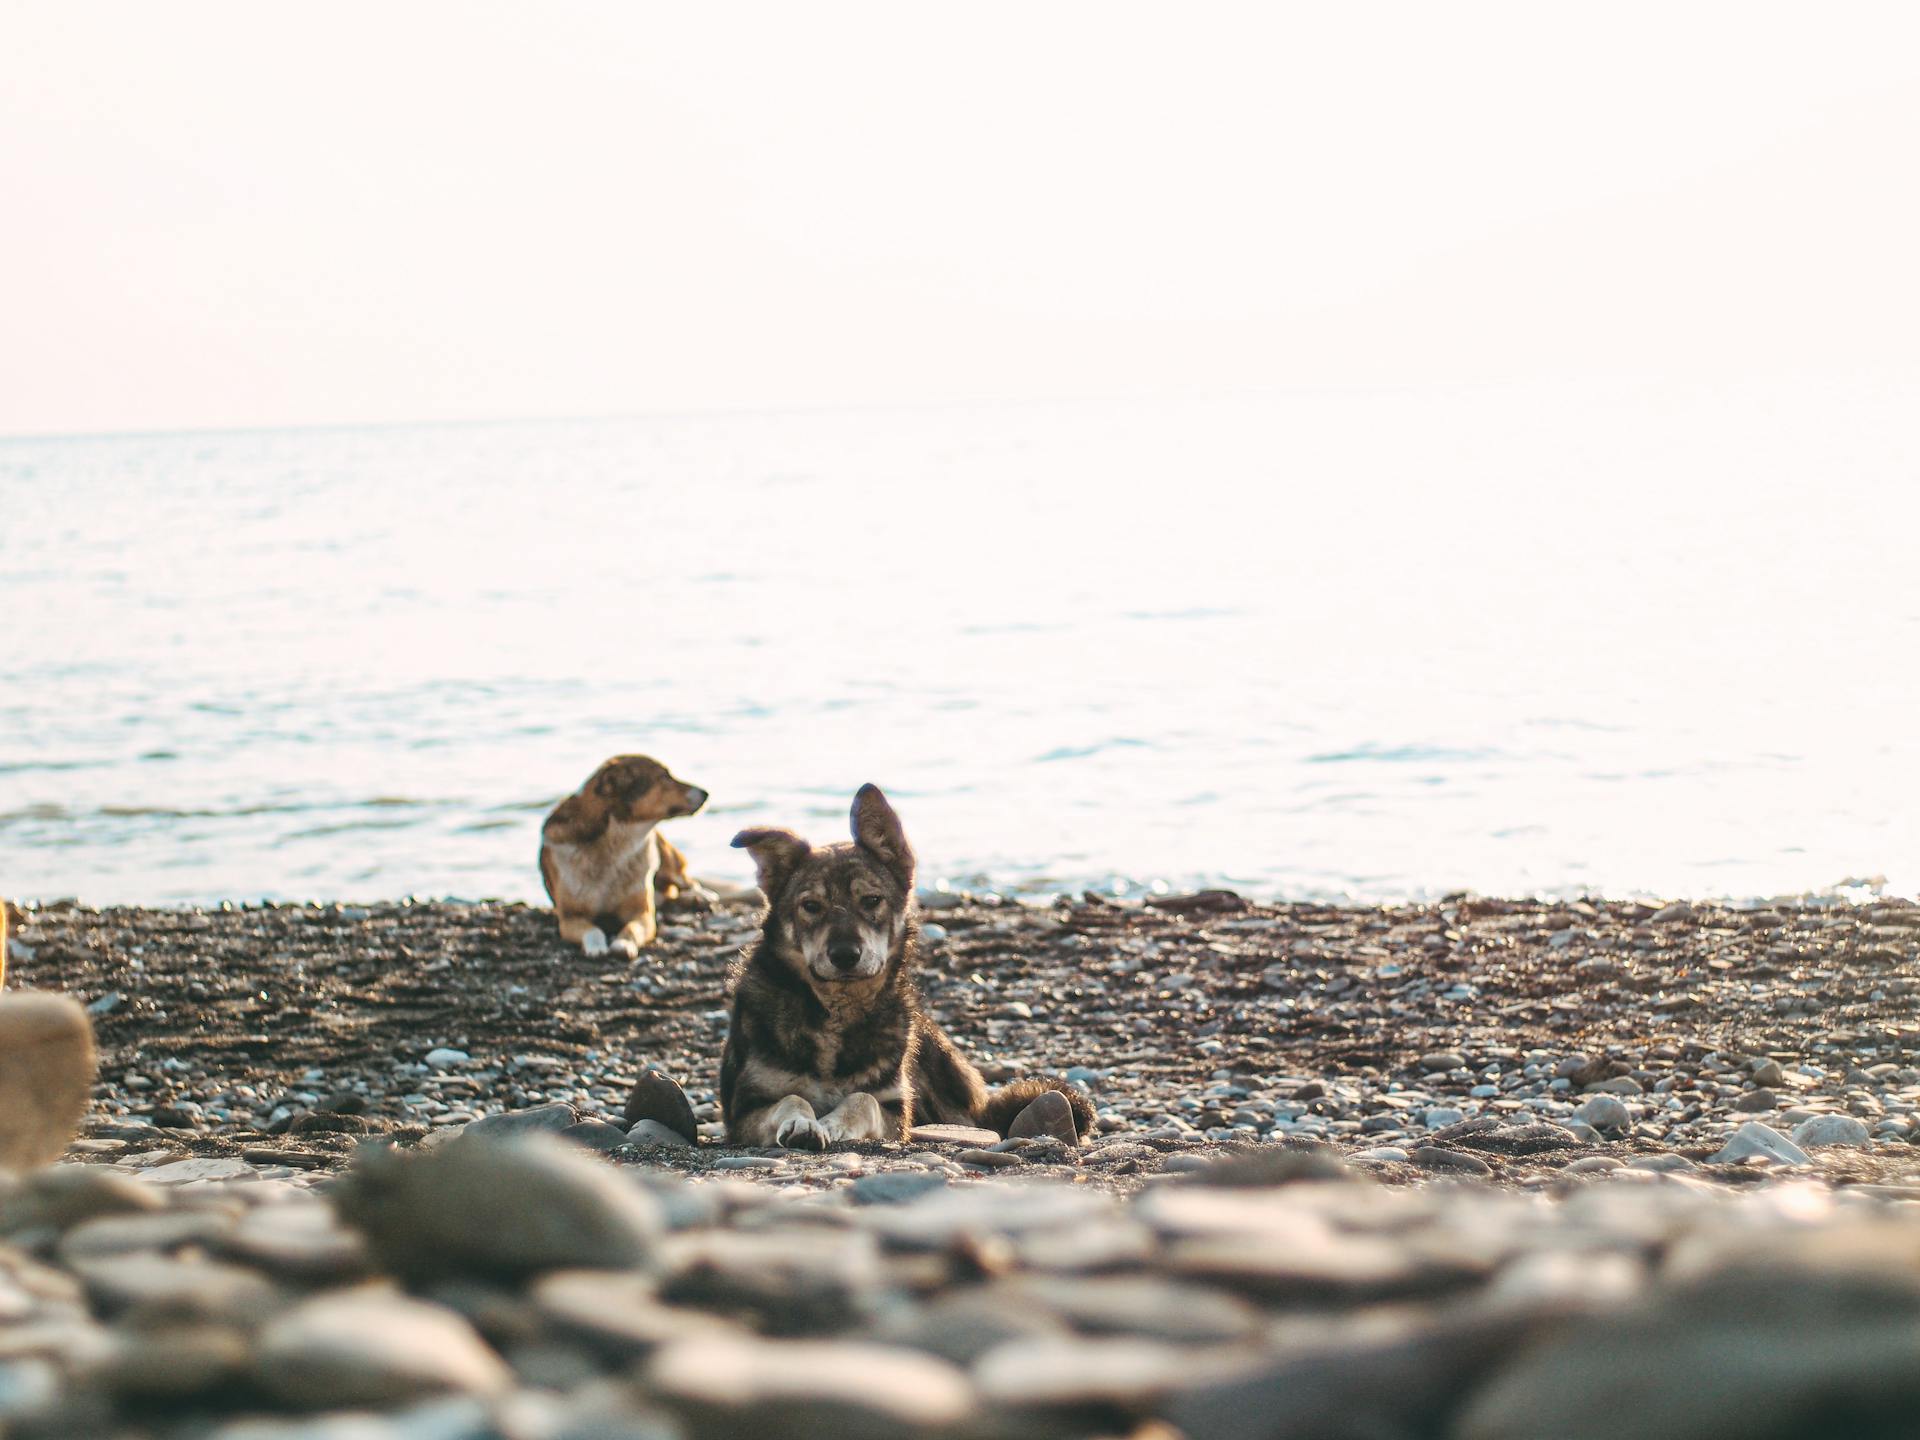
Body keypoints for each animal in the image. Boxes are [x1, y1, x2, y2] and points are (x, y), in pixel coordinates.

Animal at [541, 756, 714, 960]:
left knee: (687, 882)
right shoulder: (570, 917)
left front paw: (622, 944)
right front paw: (596, 947)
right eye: (664, 777)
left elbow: (632, 928)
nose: (706, 793)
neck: (613, 845)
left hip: (668, 861)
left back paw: (701, 896)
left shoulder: (641, 913)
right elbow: (593, 930)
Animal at [718, 783, 1090, 1159]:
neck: (837, 1012)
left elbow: (863, 1099)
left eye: (871, 900)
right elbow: (791, 1099)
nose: (844, 955)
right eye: (810, 906)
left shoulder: (897, 1112)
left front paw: (833, 1122)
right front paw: (803, 1123)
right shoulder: (744, 1112)